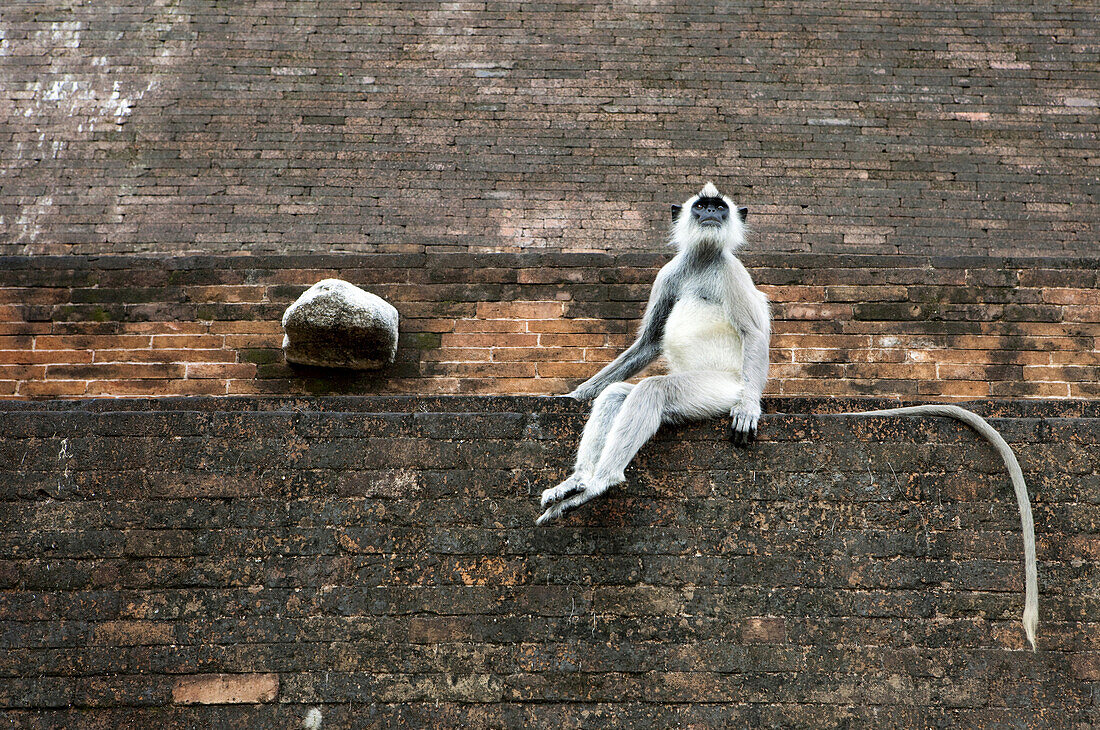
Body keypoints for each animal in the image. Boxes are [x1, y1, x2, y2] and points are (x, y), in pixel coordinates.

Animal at [541, 181, 1038, 650]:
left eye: (718, 208)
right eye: (701, 207)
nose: (709, 214)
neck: (703, 261)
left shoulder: (732, 272)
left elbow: (753, 333)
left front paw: (748, 412)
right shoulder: (670, 273)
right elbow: (646, 343)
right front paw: (576, 393)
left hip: (717, 389)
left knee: (654, 391)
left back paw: (603, 481)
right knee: (617, 396)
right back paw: (580, 480)